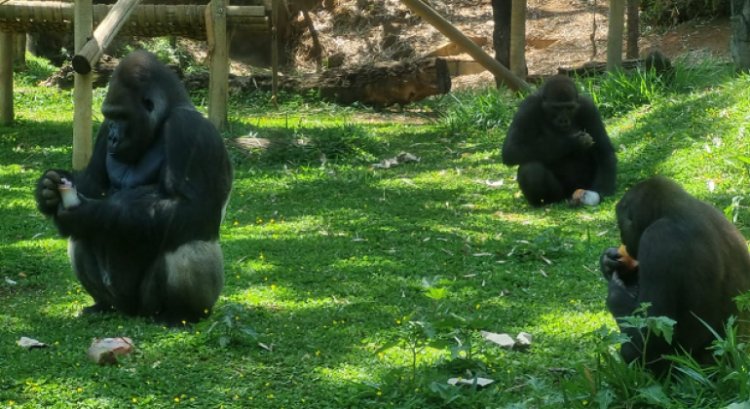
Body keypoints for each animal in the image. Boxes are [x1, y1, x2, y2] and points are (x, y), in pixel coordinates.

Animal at [35, 49, 234, 322]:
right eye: (109, 117)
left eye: (122, 116)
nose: (113, 137)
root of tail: (132, 312)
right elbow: (92, 182)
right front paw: (47, 190)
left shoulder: (190, 129)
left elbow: (193, 209)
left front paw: (88, 213)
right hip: (120, 301)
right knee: (81, 238)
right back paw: (101, 304)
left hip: (150, 305)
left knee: (189, 241)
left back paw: (180, 315)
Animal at [502, 74, 620, 206]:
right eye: (556, 108)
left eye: (569, 108)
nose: (563, 120)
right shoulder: (528, 107)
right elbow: (512, 149)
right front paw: (574, 142)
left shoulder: (589, 107)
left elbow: (604, 151)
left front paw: (601, 192)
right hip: (560, 195)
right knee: (530, 169)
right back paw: (543, 203)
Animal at [604, 175, 750, 372]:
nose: (623, 241)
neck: (676, 209)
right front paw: (608, 261)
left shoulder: (657, 239)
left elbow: (652, 335)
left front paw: (615, 294)